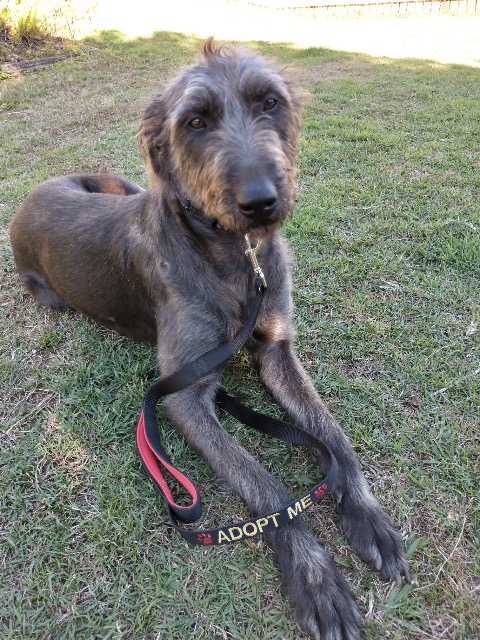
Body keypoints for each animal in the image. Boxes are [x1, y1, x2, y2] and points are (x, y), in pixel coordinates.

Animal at [10, 40, 409, 640]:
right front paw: (314, 575)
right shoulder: (185, 397)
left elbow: (333, 436)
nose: (261, 201)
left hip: (119, 183)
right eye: (195, 121)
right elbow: (266, 486)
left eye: (269, 102)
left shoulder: (276, 351)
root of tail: (33, 194)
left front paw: (366, 513)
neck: (233, 256)